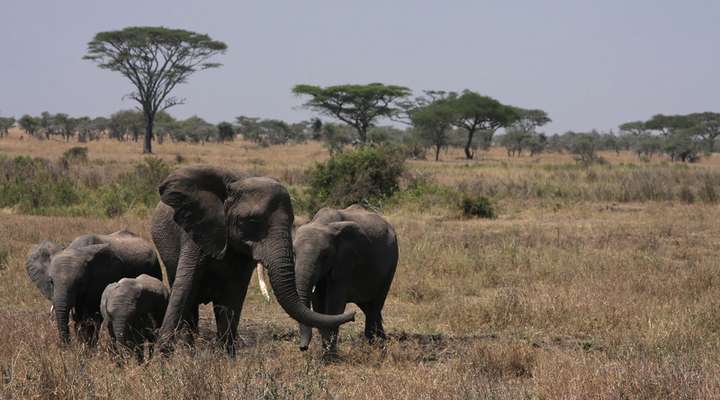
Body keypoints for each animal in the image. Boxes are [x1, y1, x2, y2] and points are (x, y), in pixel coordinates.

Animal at [26, 230, 162, 346]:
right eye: (51, 282)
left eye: (80, 283)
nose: (67, 348)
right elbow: (79, 319)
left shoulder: (102, 280)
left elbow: (91, 319)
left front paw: (88, 351)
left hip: (156, 268)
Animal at [151, 166, 354, 356]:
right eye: (253, 221)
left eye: (292, 221)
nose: (352, 315)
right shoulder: (199, 231)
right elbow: (184, 288)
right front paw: (162, 358)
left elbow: (234, 296)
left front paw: (226, 358)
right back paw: (189, 350)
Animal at [290, 205, 400, 352]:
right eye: (294, 253)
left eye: (325, 255)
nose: (303, 347)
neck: (322, 223)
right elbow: (318, 303)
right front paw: (326, 350)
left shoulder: (345, 262)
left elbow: (334, 304)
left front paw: (330, 352)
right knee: (368, 307)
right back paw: (381, 344)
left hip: (391, 265)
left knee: (375, 305)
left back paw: (373, 346)